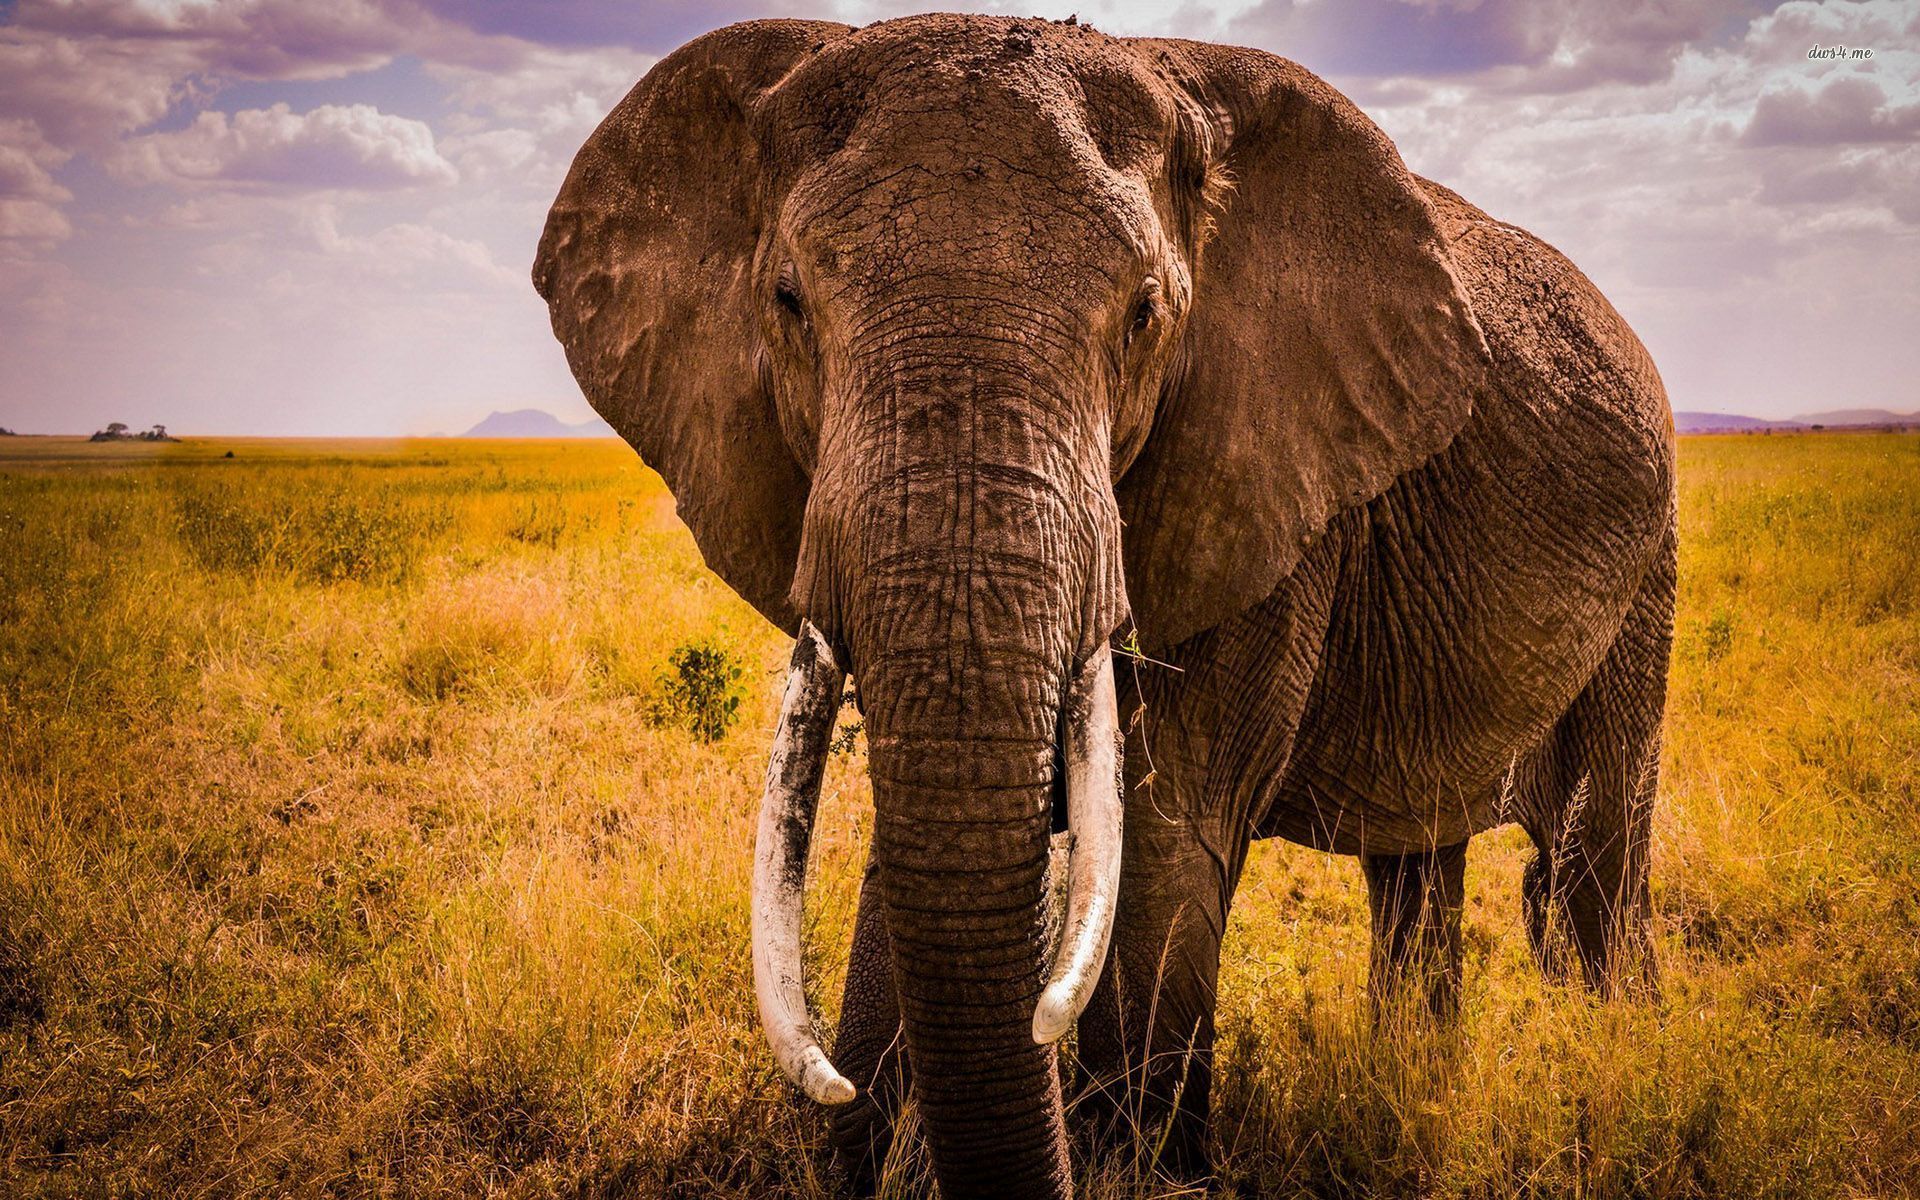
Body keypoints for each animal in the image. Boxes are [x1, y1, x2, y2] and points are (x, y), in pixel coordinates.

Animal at [533, 11, 1674, 1198]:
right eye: (788, 301)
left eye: (1145, 317)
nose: (837, 1102)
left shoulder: (1264, 489)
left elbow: (1169, 837)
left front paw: (1136, 1165)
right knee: (1422, 868)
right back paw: (1414, 1082)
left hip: (1649, 571)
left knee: (1593, 864)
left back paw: (1620, 1059)